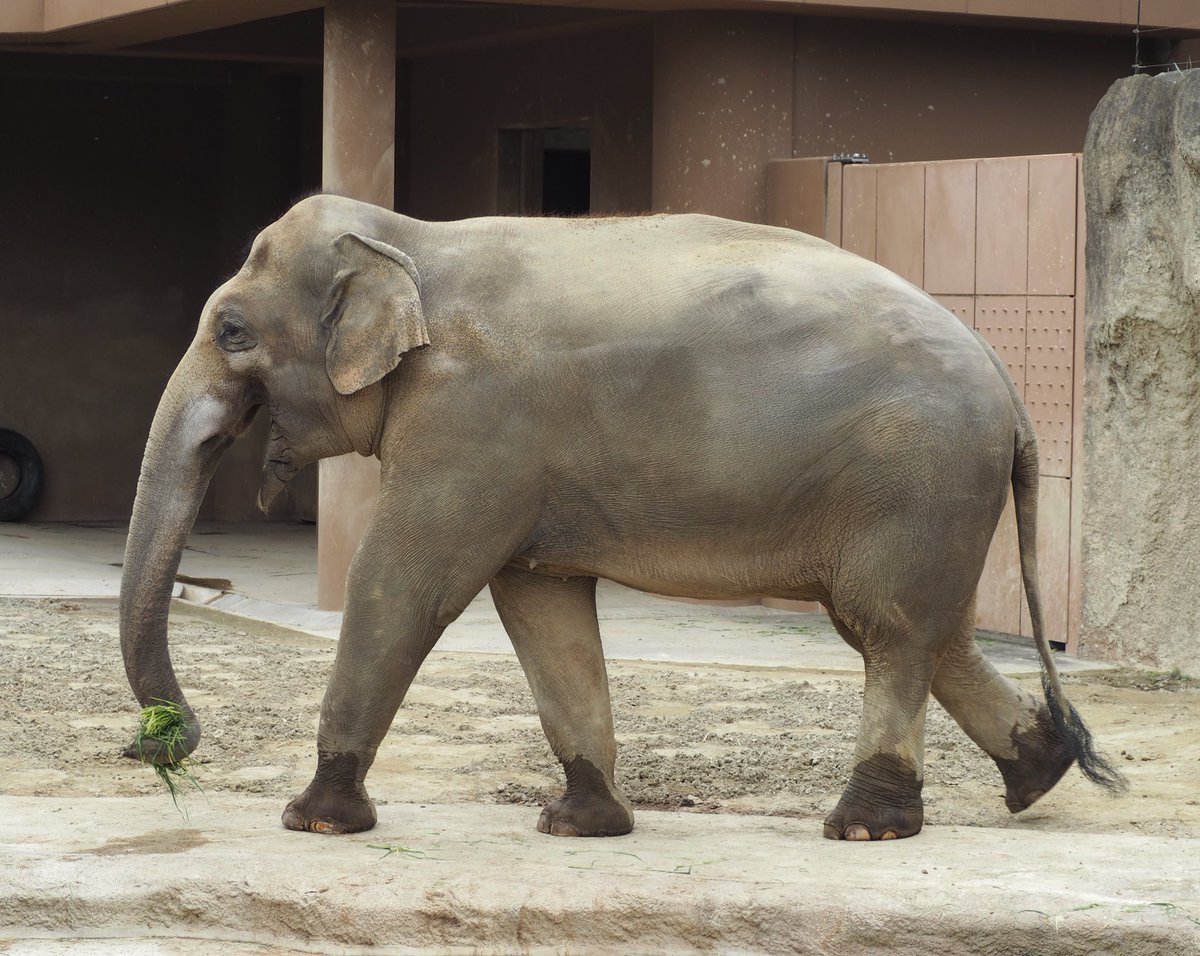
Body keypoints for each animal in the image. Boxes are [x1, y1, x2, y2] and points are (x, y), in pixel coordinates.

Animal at [117, 195, 1118, 844]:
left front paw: (314, 819)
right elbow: (542, 608)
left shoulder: (472, 426)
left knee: (890, 629)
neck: (409, 242)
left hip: (916, 474)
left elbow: (403, 585)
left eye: (233, 332)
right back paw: (1040, 773)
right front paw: (582, 825)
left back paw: (867, 830)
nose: (164, 740)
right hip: (929, 491)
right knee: (925, 628)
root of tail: (1013, 394)